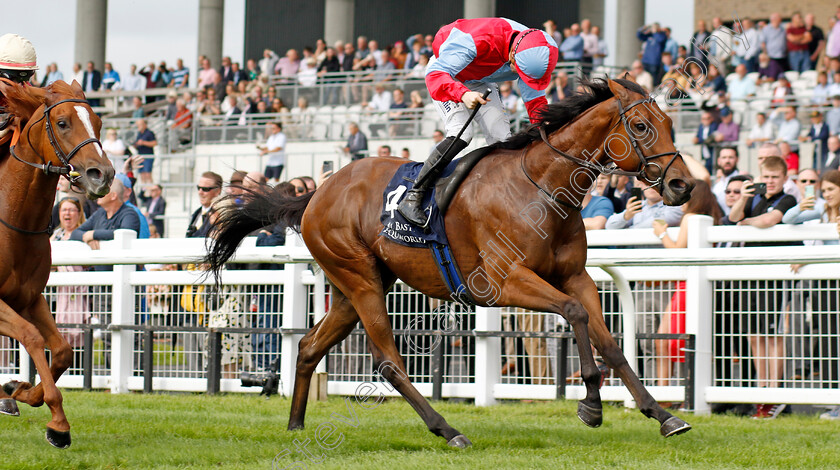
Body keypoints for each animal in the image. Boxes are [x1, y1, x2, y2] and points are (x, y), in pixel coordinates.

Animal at [0, 80, 114, 448]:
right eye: (62, 123)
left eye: (98, 122)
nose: (102, 175)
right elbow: (32, 337)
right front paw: (59, 424)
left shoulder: (29, 299)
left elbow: (63, 350)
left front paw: (19, 390)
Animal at [208, 79, 696, 446]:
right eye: (640, 125)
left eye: (671, 122)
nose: (682, 185)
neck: (542, 187)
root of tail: (315, 193)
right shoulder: (503, 282)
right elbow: (575, 315)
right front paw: (591, 404)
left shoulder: (575, 277)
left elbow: (610, 342)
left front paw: (662, 414)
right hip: (359, 278)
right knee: (388, 361)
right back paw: (447, 429)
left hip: (356, 286)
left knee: (310, 345)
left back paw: (295, 424)